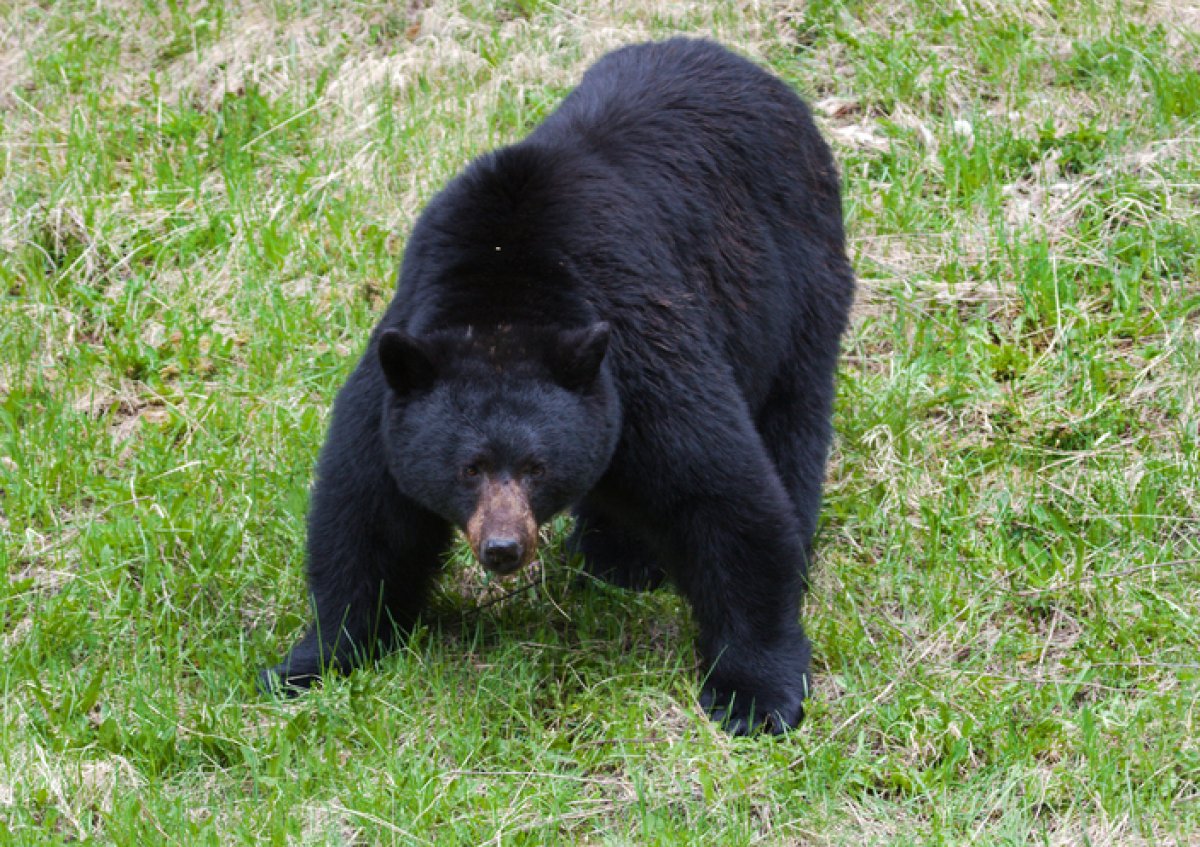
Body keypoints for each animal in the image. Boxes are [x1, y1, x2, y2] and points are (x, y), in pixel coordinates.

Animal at [261, 37, 854, 734]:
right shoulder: (395, 381)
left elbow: (721, 494)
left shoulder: (640, 352)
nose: (502, 548)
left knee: (793, 413)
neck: (503, 295)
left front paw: (754, 693)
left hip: (801, 275)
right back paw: (615, 558)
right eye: (469, 468)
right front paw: (313, 662)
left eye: (536, 466)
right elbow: (367, 517)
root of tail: (746, 66)